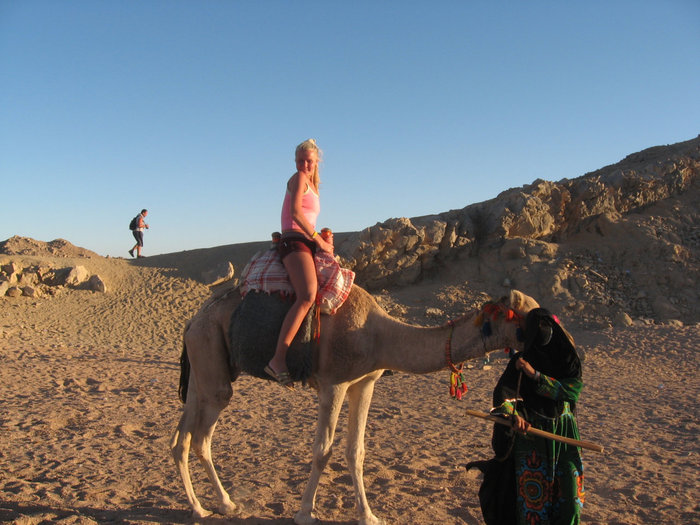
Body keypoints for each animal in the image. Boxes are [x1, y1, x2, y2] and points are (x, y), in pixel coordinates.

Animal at [171, 284, 536, 520]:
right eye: (529, 315)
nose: (549, 342)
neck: (378, 335)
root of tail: (191, 320)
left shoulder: (365, 384)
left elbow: (356, 450)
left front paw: (368, 515)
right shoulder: (333, 384)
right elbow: (323, 451)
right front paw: (305, 513)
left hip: (204, 363)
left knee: (182, 438)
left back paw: (204, 506)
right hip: (211, 358)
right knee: (202, 435)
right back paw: (219, 505)